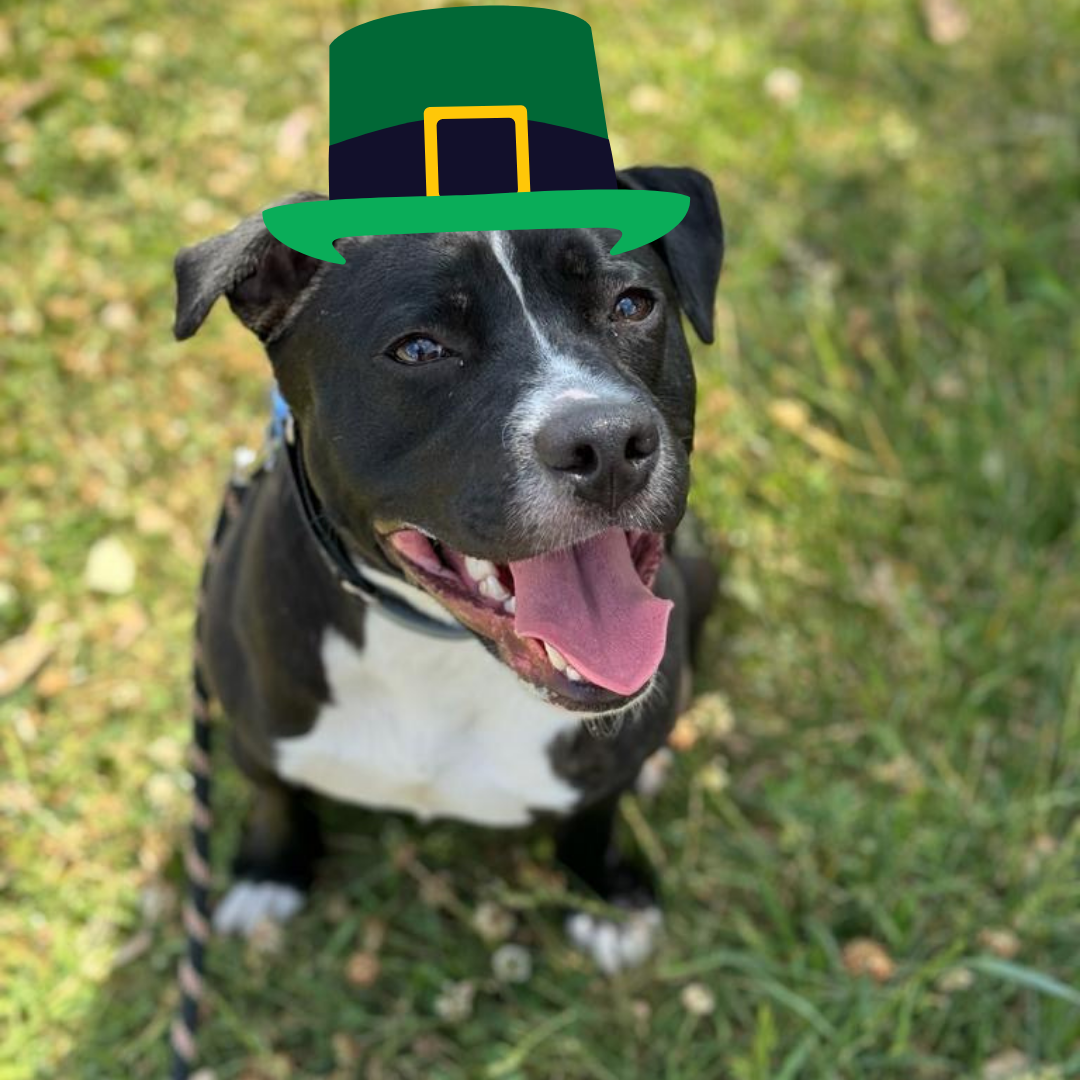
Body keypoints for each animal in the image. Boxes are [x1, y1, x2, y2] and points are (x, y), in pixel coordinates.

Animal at [173, 166, 723, 974]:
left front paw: (606, 893)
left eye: (631, 304)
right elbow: (276, 794)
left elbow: (595, 813)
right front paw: (272, 870)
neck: (435, 646)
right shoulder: (250, 730)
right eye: (419, 350)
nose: (605, 441)